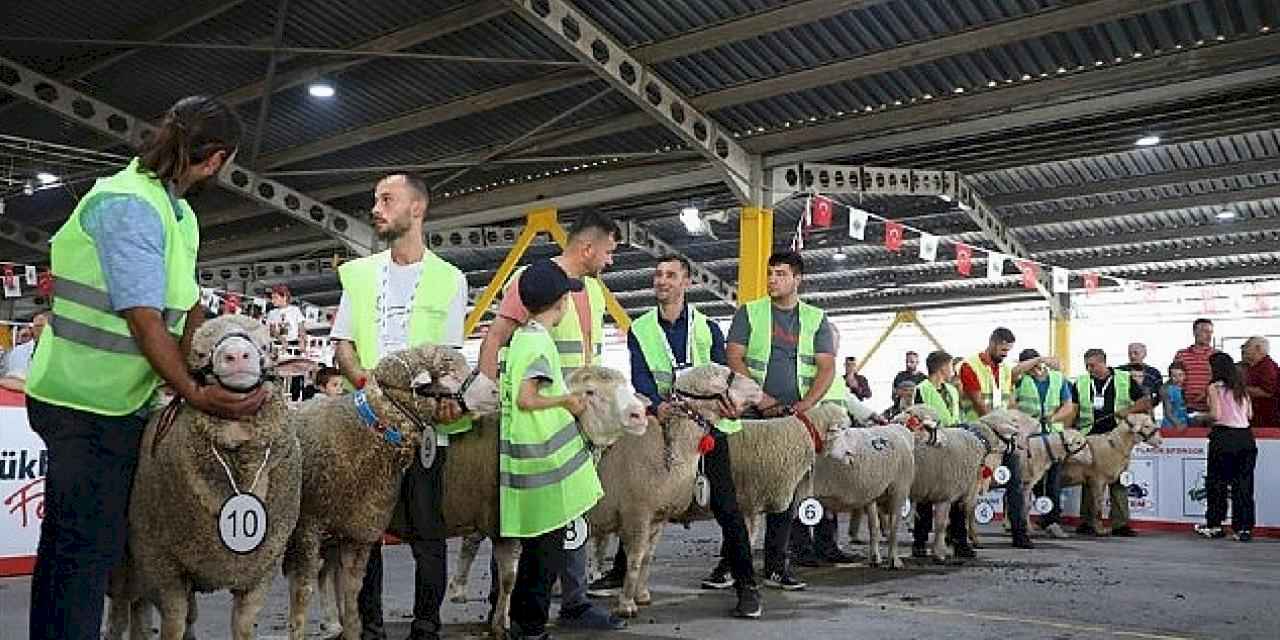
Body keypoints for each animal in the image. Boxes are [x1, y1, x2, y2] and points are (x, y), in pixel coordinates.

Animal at [104, 314, 294, 640]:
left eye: (268, 346)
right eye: (200, 353)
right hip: (130, 562)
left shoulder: (261, 571)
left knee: (141, 608)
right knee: (122, 609)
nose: (237, 355)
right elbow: (174, 624)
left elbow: (243, 627)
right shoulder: (163, 566)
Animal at [281, 345, 499, 640]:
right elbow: (302, 595)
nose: (496, 391)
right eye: (448, 372)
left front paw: (352, 630)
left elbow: (352, 596)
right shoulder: (307, 530)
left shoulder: (360, 532)